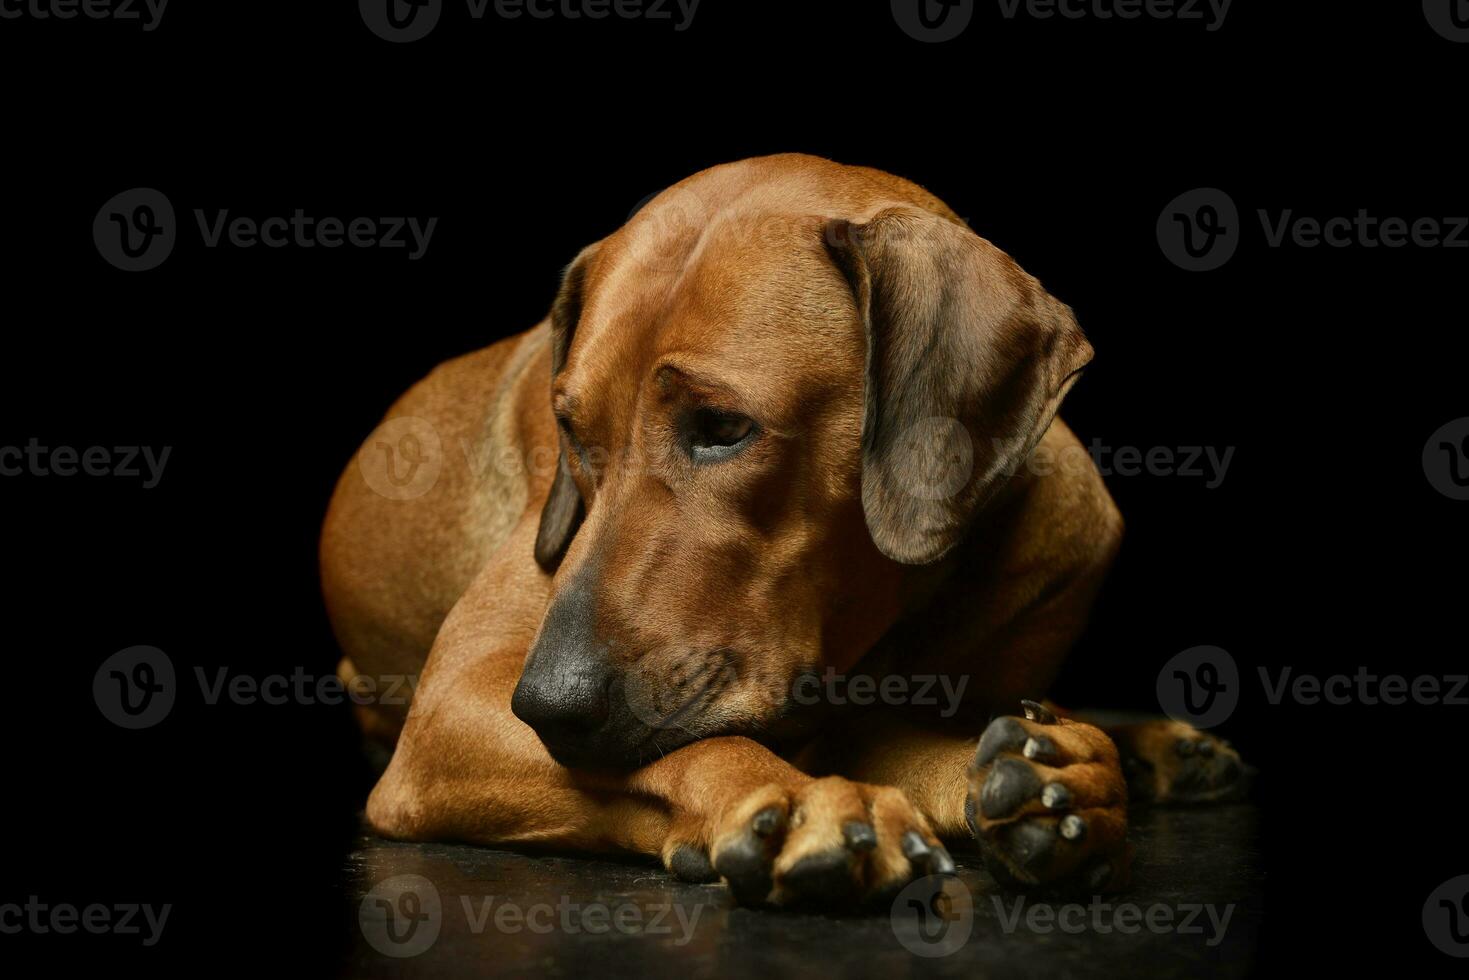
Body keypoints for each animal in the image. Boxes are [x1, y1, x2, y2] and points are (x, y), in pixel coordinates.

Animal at [318, 155, 1239, 910]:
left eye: (722, 427)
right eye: (571, 432)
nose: (548, 702)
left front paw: (1062, 780)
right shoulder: (447, 710)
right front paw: (790, 798)